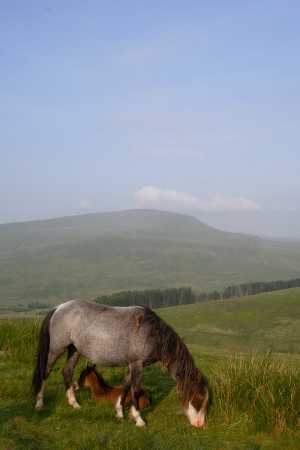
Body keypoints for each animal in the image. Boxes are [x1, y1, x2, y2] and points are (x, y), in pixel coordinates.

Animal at [31, 300, 209, 428]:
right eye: (199, 397)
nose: (199, 424)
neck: (151, 333)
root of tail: (58, 308)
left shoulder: (133, 365)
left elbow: (126, 386)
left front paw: (120, 412)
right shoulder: (137, 364)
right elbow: (135, 390)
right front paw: (138, 419)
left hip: (74, 350)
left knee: (67, 371)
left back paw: (74, 403)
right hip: (56, 349)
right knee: (45, 371)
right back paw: (39, 402)